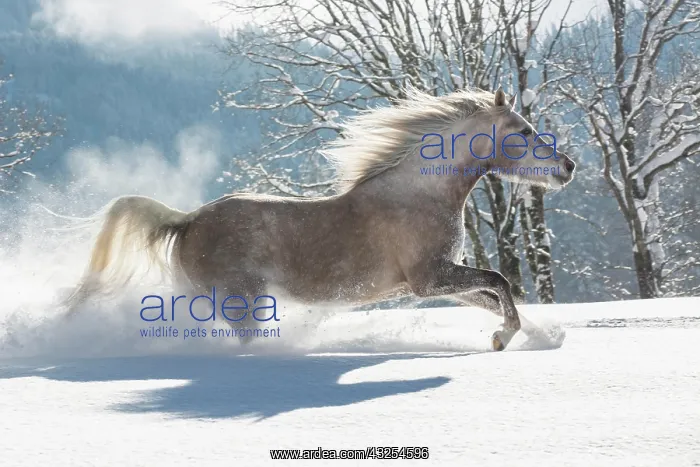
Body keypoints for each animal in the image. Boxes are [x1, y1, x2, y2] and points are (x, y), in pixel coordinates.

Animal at [66, 86, 575, 351]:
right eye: (524, 132)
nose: (568, 167)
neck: (417, 196)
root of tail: (189, 220)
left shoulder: (438, 283)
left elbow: (492, 295)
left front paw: (540, 336)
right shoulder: (430, 278)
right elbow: (500, 282)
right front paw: (503, 337)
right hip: (242, 304)